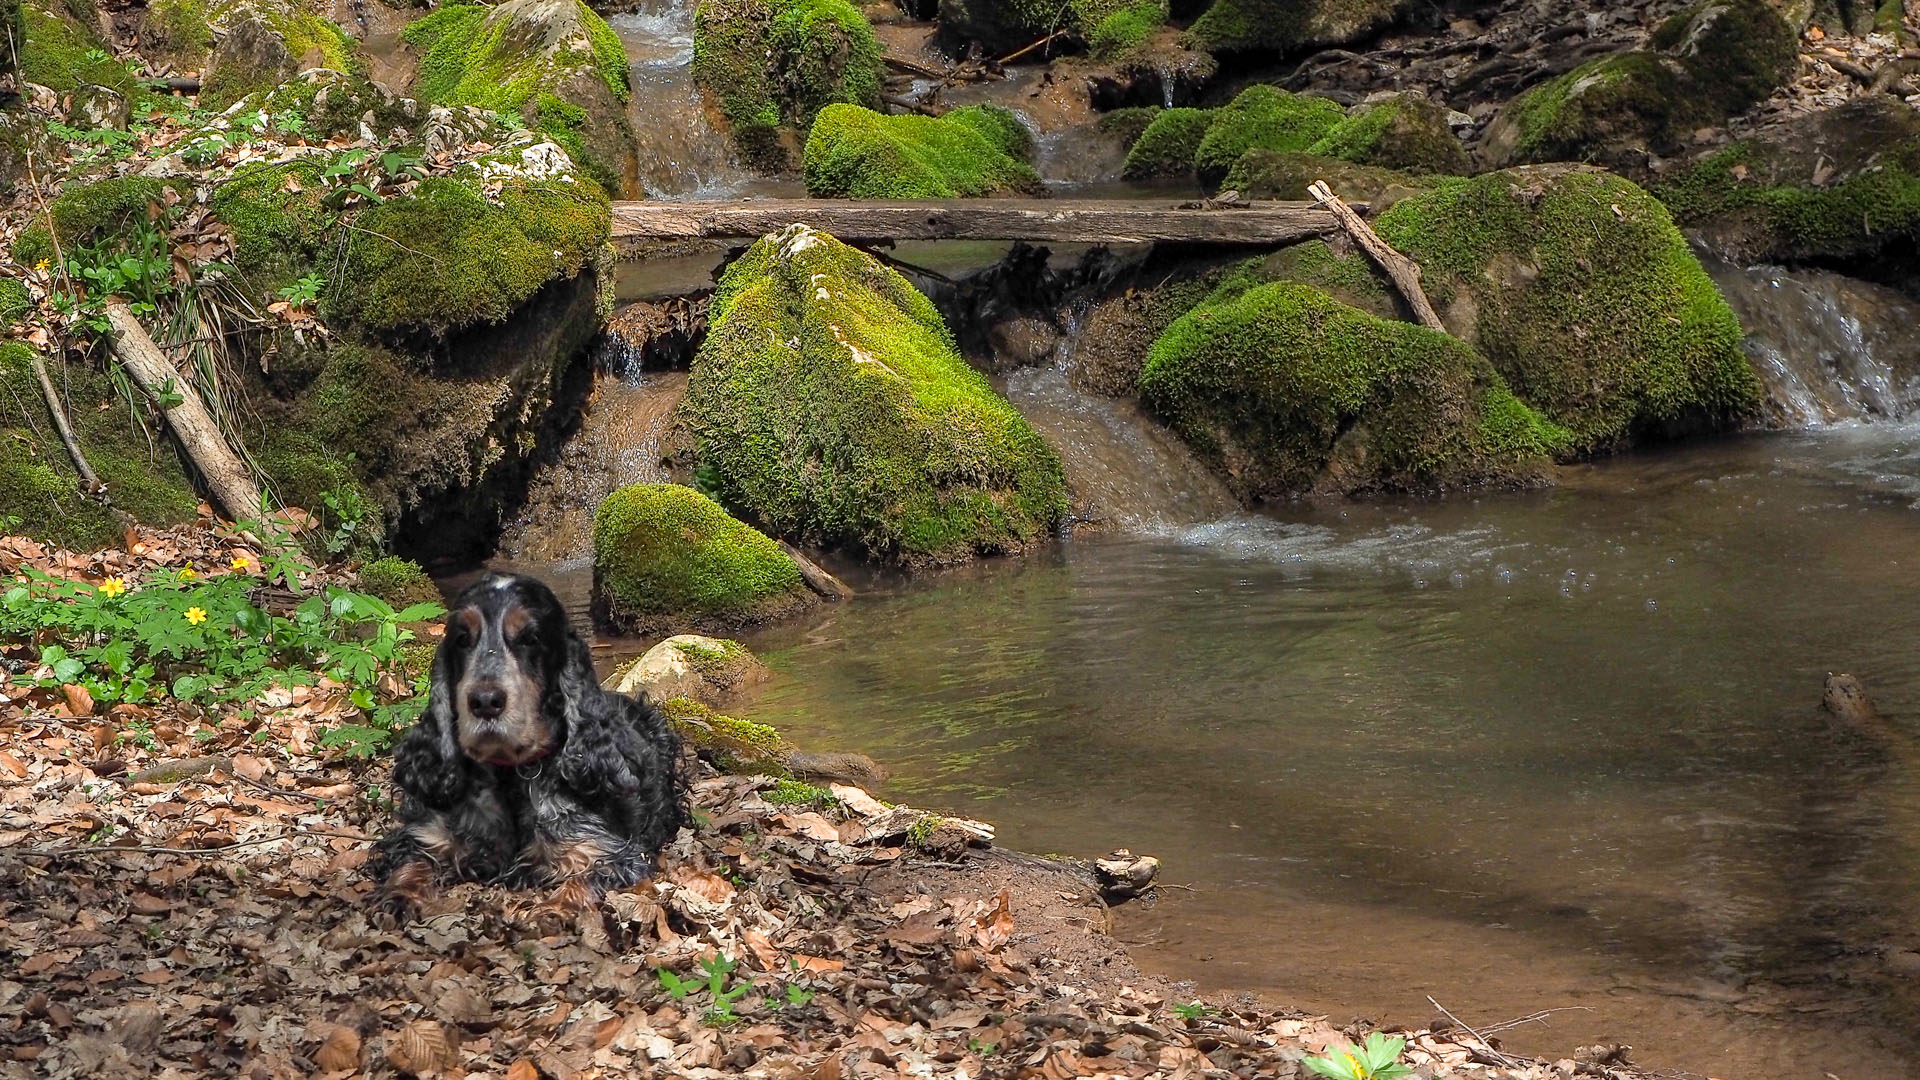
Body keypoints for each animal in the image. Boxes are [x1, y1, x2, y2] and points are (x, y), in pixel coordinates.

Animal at [370, 568, 687, 910]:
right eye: (462, 639)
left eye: (530, 638)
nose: (484, 701)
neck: (509, 777)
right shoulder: (422, 835)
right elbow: (412, 862)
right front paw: (397, 898)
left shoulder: (607, 852)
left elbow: (580, 881)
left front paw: (554, 911)